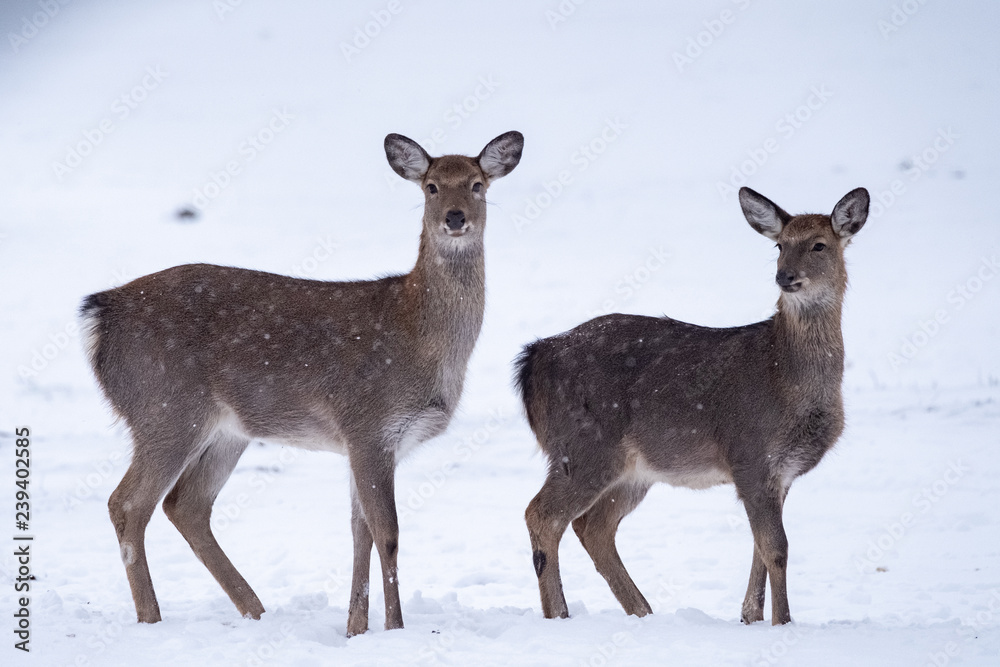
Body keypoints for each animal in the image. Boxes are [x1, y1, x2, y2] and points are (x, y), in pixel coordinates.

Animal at [80, 131, 523, 636]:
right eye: (430, 186)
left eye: (476, 184)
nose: (454, 217)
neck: (422, 337)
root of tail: (100, 314)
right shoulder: (369, 423)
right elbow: (387, 532)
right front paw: (394, 628)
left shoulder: (364, 441)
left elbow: (360, 532)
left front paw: (356, 629)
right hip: (164, 408)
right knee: (128, 503)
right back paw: (153, 619)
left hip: (224, 430)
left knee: (186, 505)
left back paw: (255, 611)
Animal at [515, 186, 869, 626]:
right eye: (780, 245)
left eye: (820, 244)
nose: (785, 276)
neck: (784, 379)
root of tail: (533, 358)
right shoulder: (750, 454)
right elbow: (777, 548)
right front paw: (783, 622)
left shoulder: (781, 473)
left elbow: (760, 547)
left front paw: (750, 617)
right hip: (581, 447)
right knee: (542, 514)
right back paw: (560, 614)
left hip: (632, 469)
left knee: (593, 526)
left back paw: (643, 612)